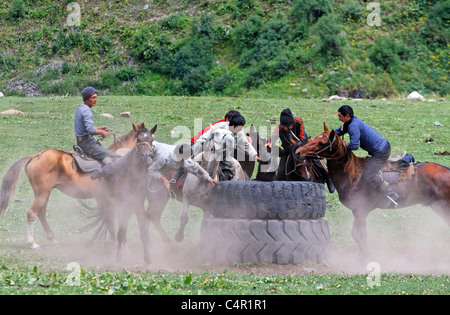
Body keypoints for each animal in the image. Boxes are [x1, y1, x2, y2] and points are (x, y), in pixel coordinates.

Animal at [0, 121, 148, 249]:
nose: (148, 157)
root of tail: (35, 156)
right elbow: (110, 218)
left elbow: (108, 217)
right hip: (42, 193)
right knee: (32, 213)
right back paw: (32, 243)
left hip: (45, 193)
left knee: (41, 212)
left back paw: (53, 239)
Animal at [91, 124, 156, 266]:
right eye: (138, 139)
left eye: (151, 140)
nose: (146, 157)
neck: (132, 177)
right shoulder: (122, 206)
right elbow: (121, 231)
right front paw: (118, 258)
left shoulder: (137, 206)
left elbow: (143, 232)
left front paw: (148, 259)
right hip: (107, 204)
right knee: (111, 225)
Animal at [296, 123, 450, 256]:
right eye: (314, 138)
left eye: (321, 142)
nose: (298, 152)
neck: (353, 175)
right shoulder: (358, 212)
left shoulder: (360, 210)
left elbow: (359, 235)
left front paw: (367, 257)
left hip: (442, 207)